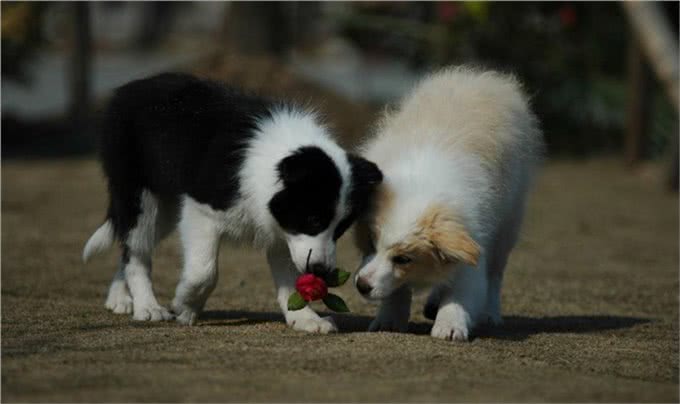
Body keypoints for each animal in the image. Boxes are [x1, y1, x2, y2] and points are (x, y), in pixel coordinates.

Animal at [83, 74, 382, 332]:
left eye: (341, 229)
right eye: (313, 219)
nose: (322, 270)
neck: (276, 160)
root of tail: (129, 88)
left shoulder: (283, 227)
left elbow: (290, 275)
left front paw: (305, 319)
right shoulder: (201, 210)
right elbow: (204, 271)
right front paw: (185, 306)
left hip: (164, 209)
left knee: (129, 245)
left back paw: (120, 298)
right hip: (140, 196)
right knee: (137, 248)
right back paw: (147, 307)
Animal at [354, 67, 544, 340]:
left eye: (403, 259)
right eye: (370, 243)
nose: (361, 286)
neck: (423, 184)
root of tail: (484, 78)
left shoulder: (474, 239)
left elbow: (461, 291)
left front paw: (450, 324)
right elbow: (398, 289)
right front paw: (389, 319)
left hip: (507, 226)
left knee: (495, 275)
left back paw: (490, 313)